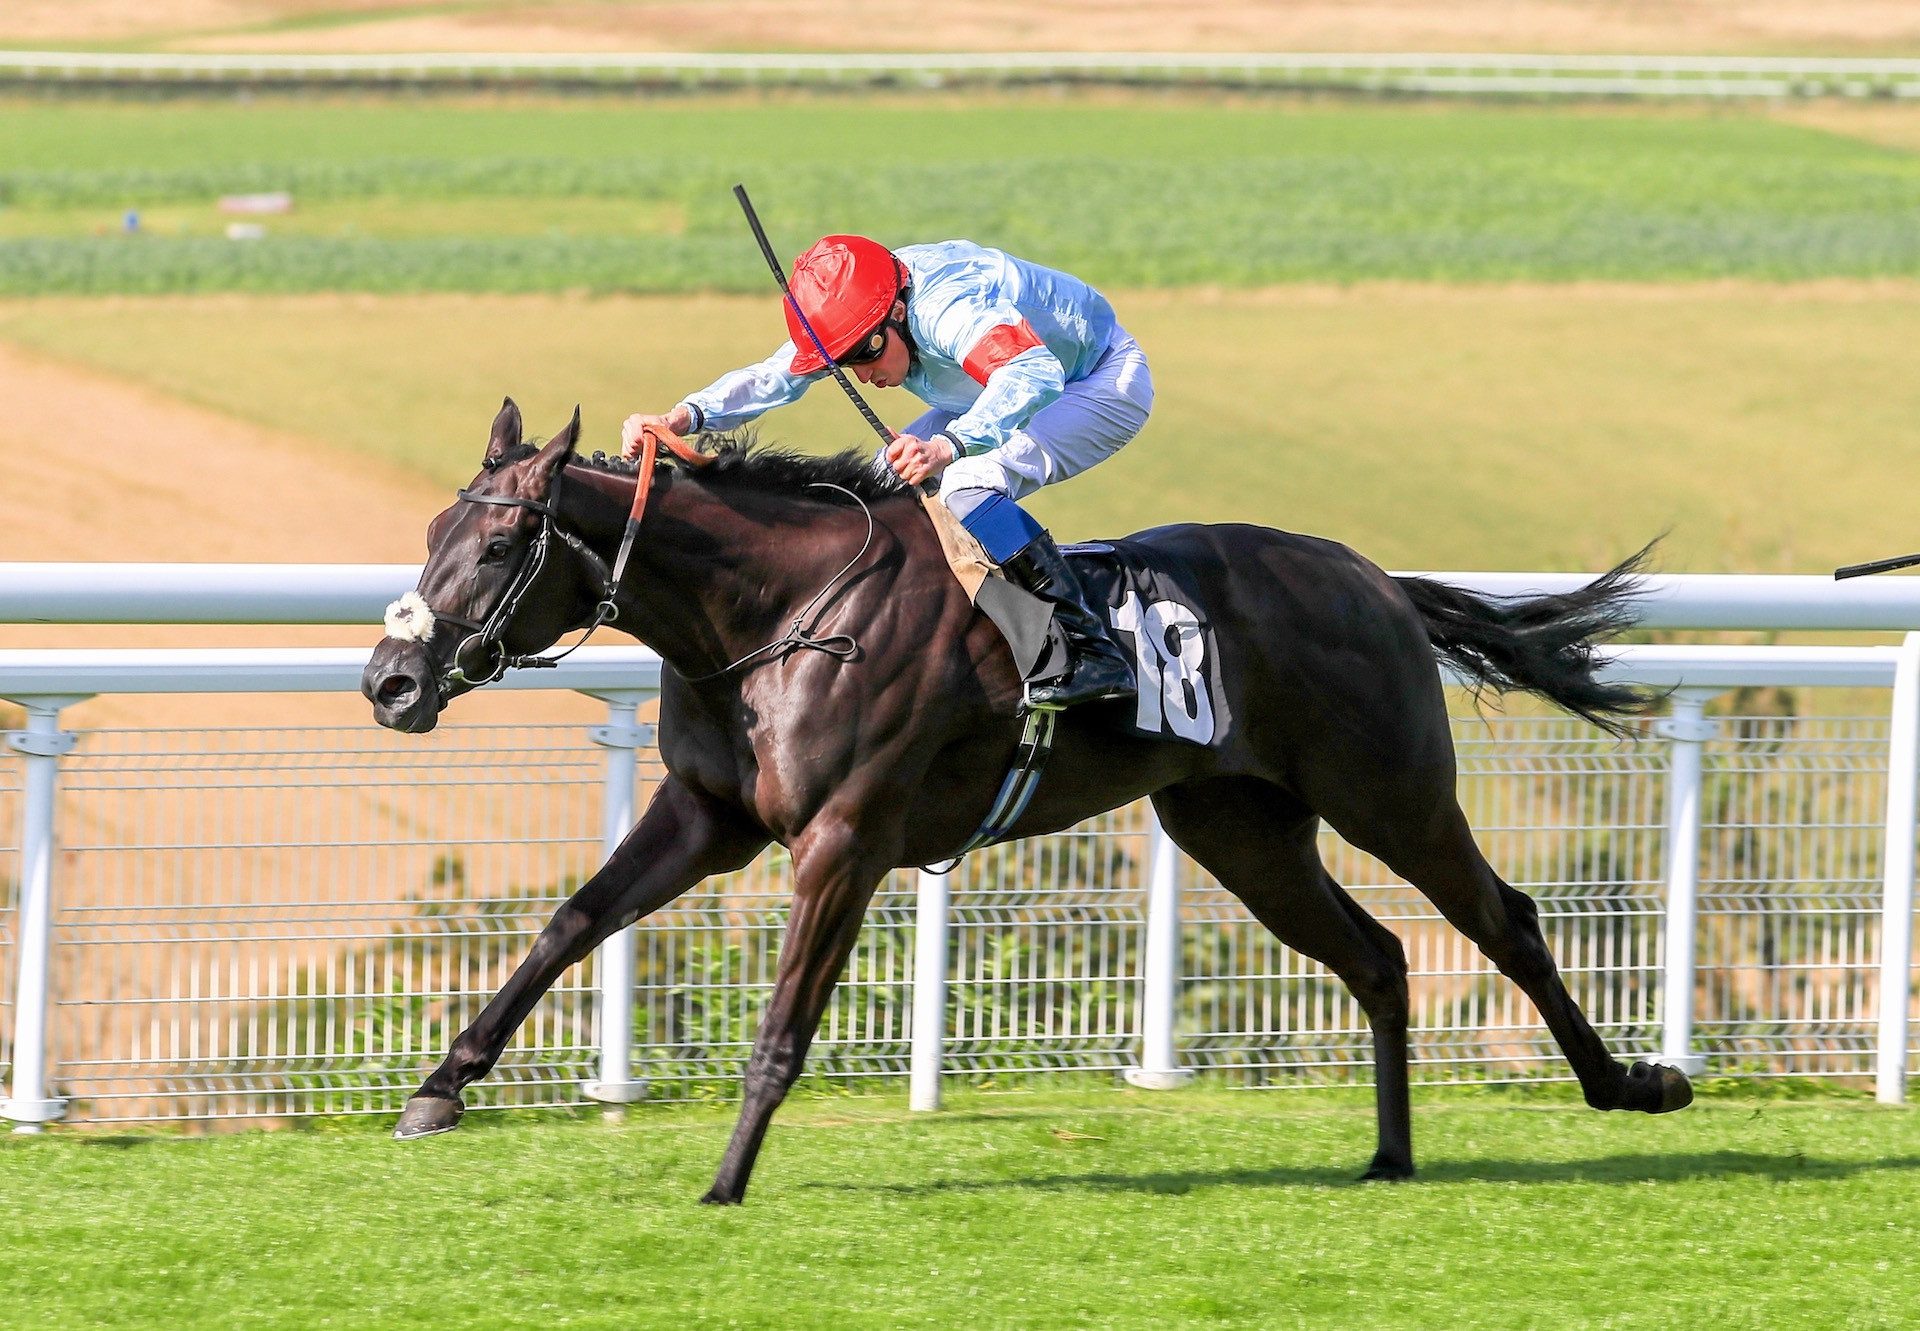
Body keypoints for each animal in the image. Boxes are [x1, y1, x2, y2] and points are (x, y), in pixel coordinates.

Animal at [362, 399, 1697, 1198]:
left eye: (496, 549)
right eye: (430, 530)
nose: (389, 680)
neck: (775, 614)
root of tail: (1375, 577)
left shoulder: (844, 839)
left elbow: (783, 1026)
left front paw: (726, 1178)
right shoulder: (709, 814)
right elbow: (571, 922)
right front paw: (439, 1087)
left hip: (1391, 793)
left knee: (1505, 919)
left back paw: (1634, 1082)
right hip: (1240, 827)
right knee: (1379, 954)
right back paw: (1390, 1153)